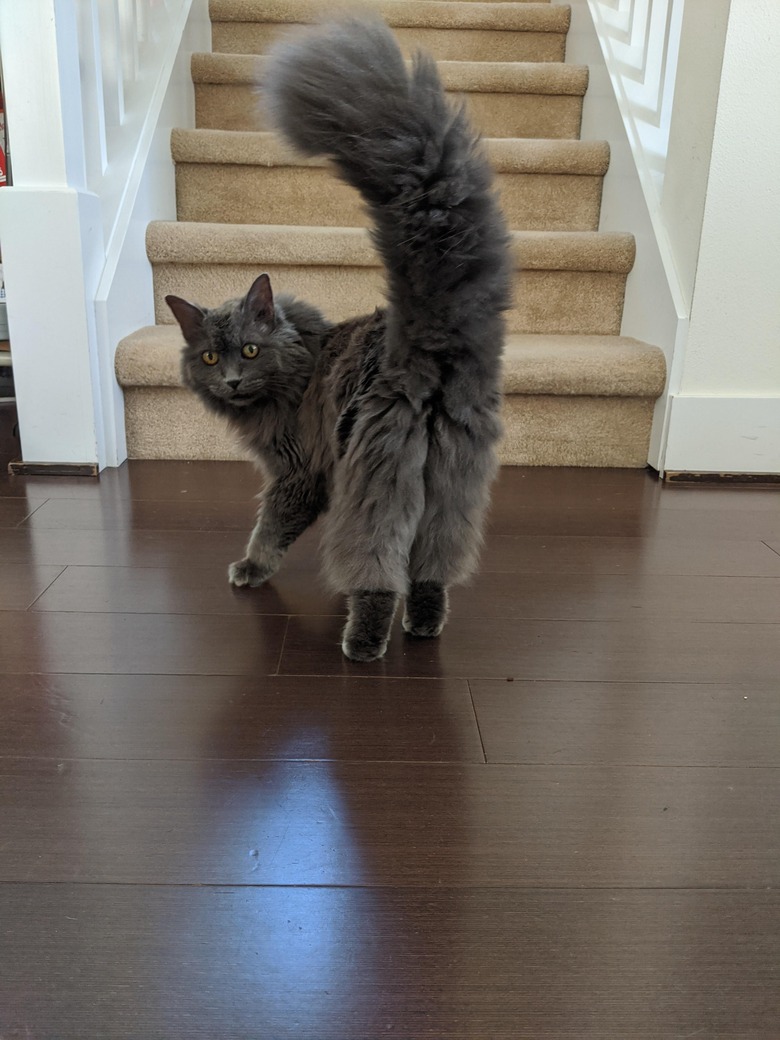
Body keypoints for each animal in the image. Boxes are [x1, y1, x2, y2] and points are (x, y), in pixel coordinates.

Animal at [166, 16, 513, 661]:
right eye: (210, 356)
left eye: (249, 351)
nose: (232, 382)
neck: (301, 363)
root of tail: (425, 343)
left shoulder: (299, 471)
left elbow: (270, 527)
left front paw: (249, 569)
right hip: (450, 482)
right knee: (431, 568)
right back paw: (422, 625)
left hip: (378, 474)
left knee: (376, 569)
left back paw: (363, 642)